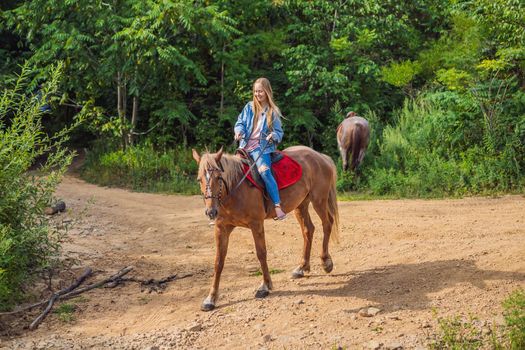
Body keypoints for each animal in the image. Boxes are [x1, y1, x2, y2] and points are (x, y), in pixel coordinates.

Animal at [192, 146, 340, 310]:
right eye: (199, 179)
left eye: (219, 177)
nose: (211, 212)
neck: (235, 188)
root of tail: (320, 156)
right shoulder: (221, 228)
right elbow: (218, 261)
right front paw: (211, 298)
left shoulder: (256, 224)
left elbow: (261, 253)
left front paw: (265, 286)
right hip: (301, 205)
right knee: (308, 230)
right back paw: (301, 267)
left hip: (319, 200)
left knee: (327, 224)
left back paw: (326, 262)